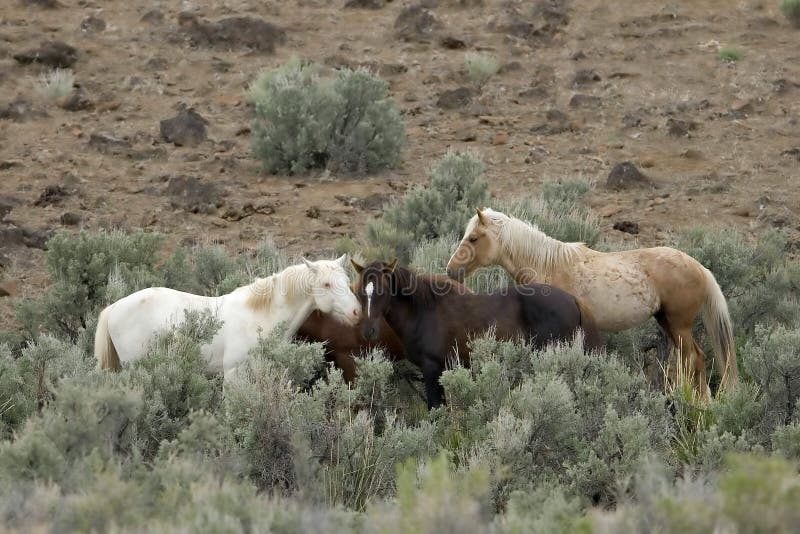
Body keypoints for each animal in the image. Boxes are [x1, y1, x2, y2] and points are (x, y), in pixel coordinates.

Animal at [94, 255, 361, 377]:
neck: (259, 317)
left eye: (346, 280)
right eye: (326, 284)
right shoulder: (233, 374)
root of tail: (114, 308)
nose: (357, 312)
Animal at [352, 260, 602, 409]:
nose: (367, 331)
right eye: (359, 291)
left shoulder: (431, 369)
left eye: (382, 290)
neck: (423, 312)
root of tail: (572, 300)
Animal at [446, 208, 739, 398]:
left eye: (473, 238)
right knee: (694, 358)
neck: (548, 265)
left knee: (694, 359)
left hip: (679, 326)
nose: (451, 271)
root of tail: (700, 268)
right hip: (668, 322)